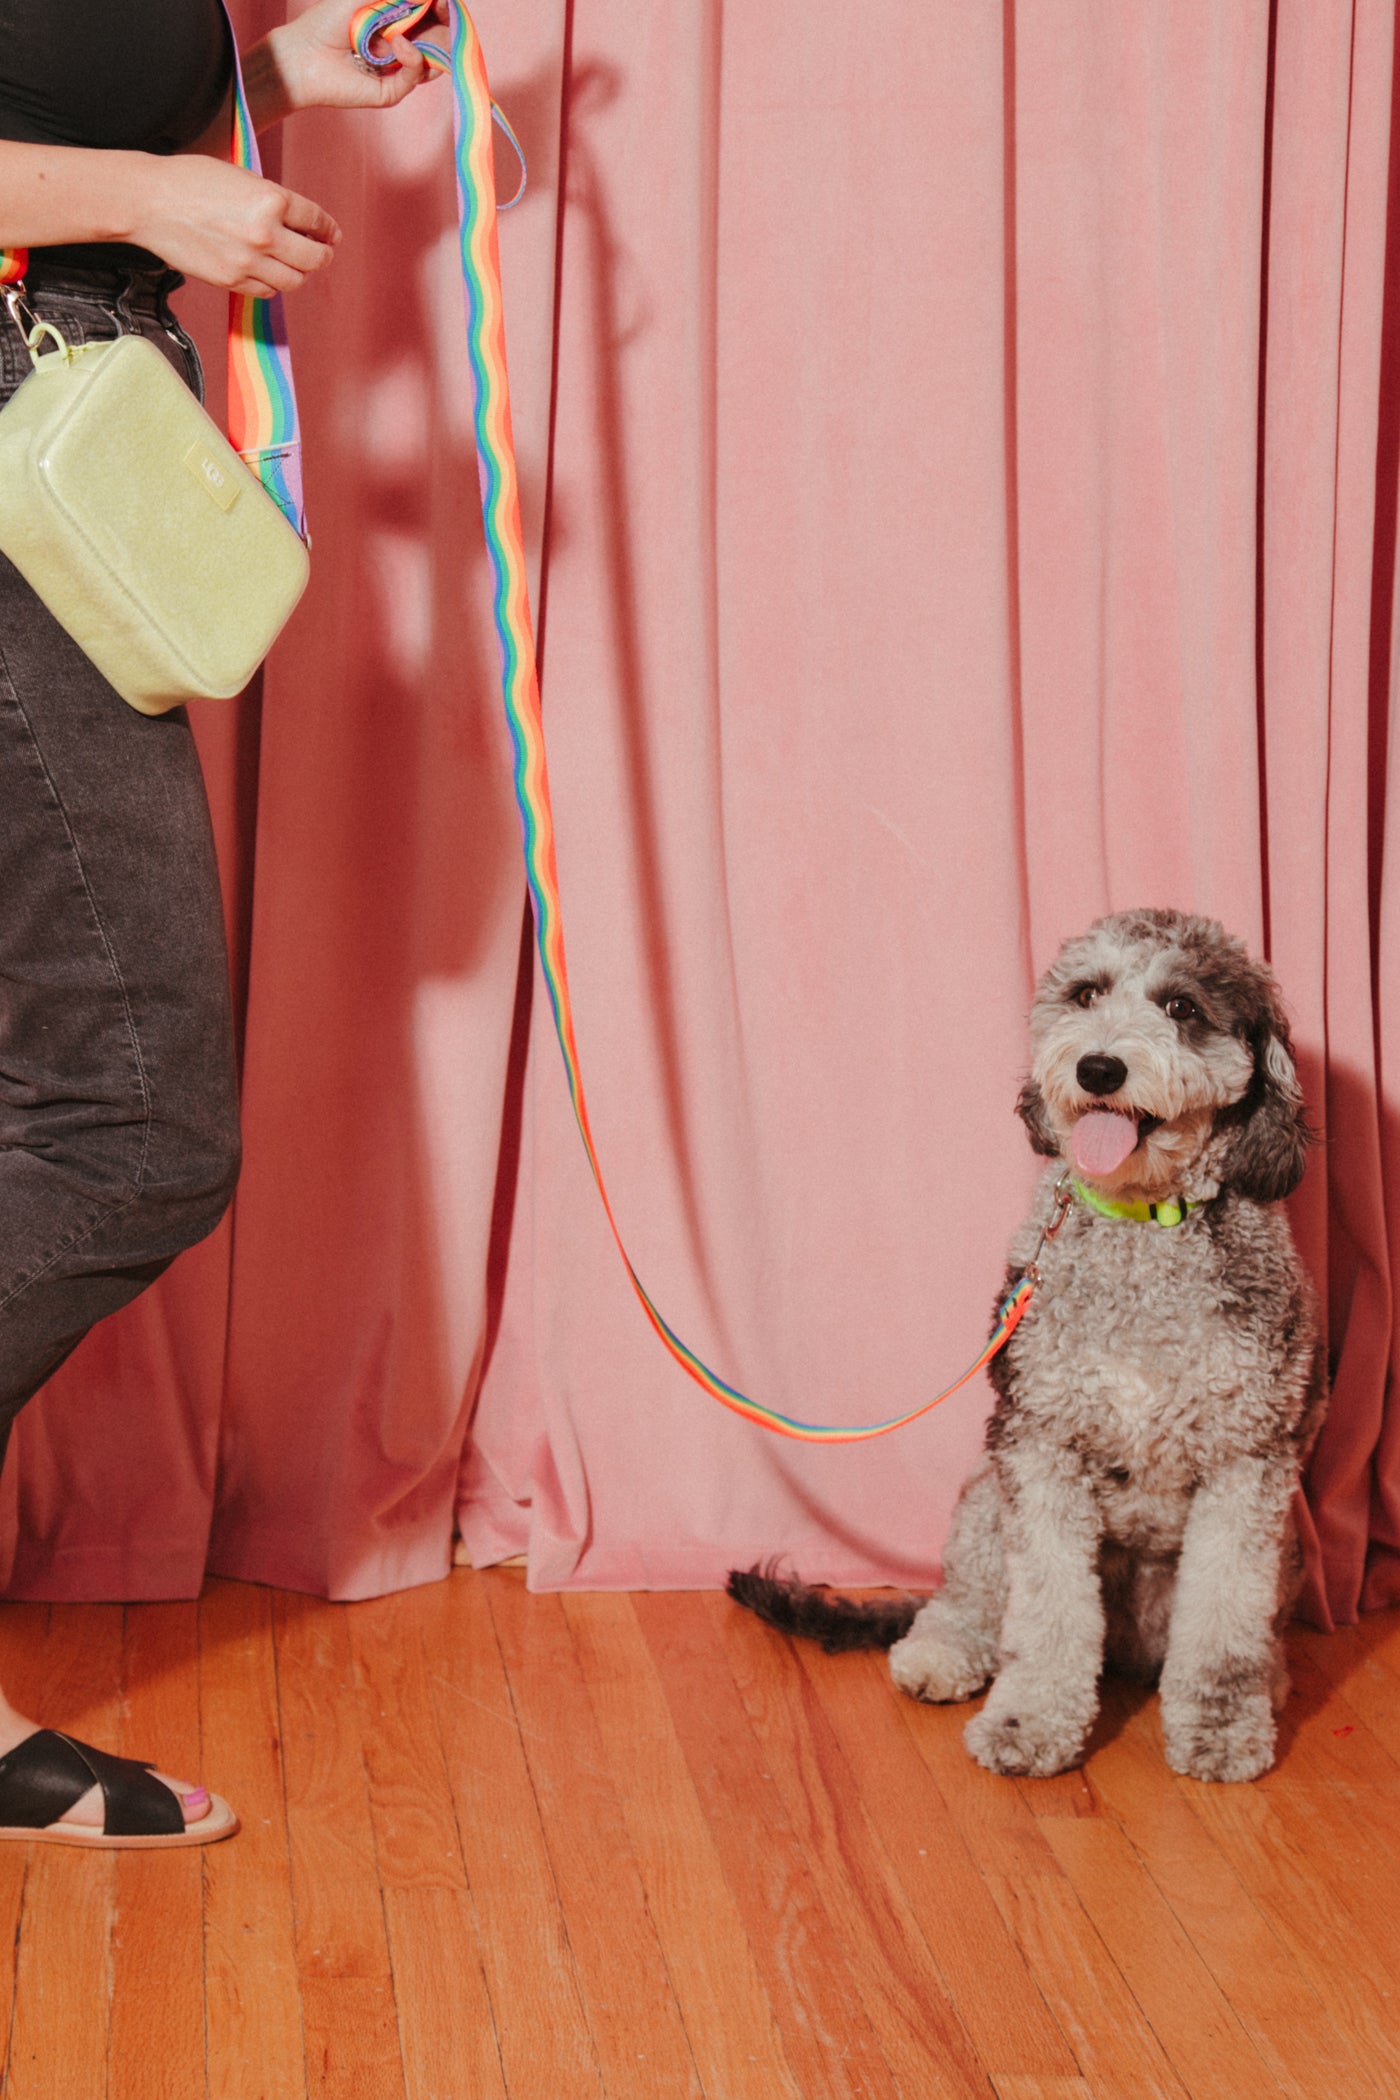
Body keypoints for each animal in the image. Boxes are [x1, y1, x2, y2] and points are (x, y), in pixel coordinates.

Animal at [730, 911, 1334, 1780]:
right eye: (1086, 994)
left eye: (1182, 1007)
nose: (1099, 1066)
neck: (1143, 1230)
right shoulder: (1041, 1447)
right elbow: (1048, 1613)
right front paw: (1030, 1723)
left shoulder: (1248, 1466)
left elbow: (1224, 1626)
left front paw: (1222, 1730)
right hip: (987, 1495)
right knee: (969, 1600)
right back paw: (944, 1651)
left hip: (1287, 1547)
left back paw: (1273, 1678)